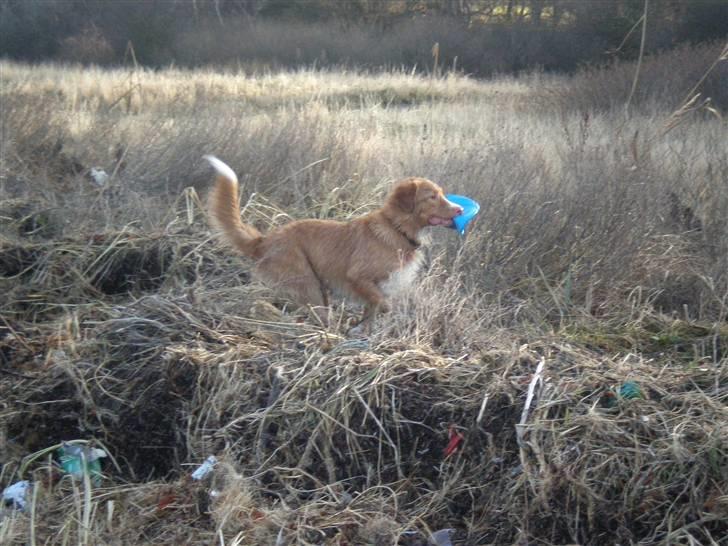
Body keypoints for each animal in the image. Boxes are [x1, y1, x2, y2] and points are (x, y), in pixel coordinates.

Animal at [206, 155, 460, 320]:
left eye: (442, 194)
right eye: (432, 197)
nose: (459, 209)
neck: (397, 229)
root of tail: (265, 240)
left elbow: (370, 317)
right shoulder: (359, 278)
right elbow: (384, 304)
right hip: (308, 285)